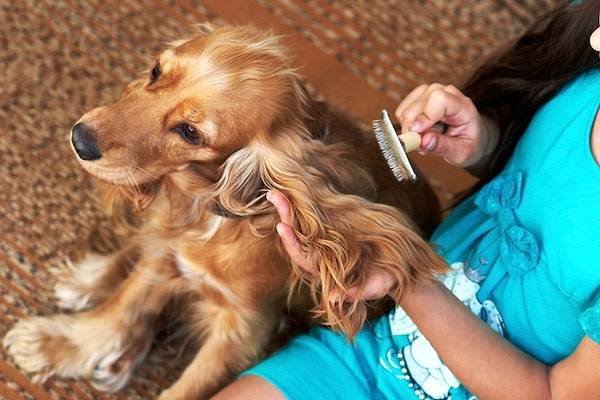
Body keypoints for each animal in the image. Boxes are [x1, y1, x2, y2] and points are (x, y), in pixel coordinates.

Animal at [3, 23, 446, 398]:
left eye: (191, 132)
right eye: (156, 70)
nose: (81, 139)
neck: (210, 215)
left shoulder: (242, 329)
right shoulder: (168, 257)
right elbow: (122, 308)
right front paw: (56, 344)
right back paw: (90, 283)